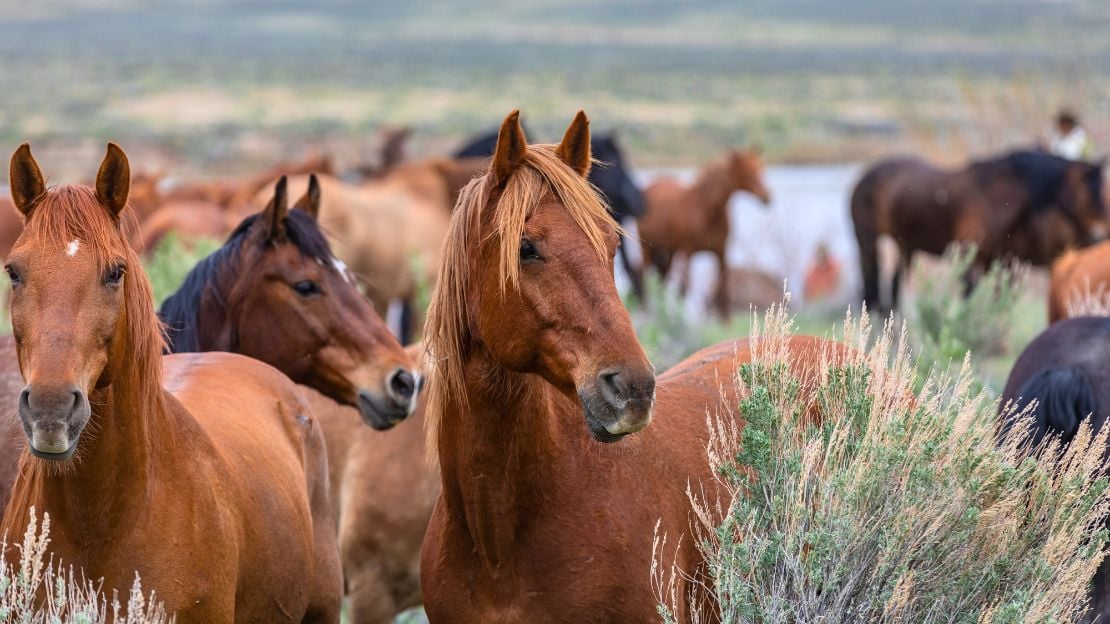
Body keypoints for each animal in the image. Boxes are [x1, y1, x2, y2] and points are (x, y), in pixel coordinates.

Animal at [638, 148, 772, 317]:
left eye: (761, 168)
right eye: (748, 172)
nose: (768, 197)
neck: (707, 211)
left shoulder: (721, 252)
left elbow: (723, 291)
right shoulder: (687, 252)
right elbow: (684, 290)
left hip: (667, 253)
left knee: (662, 281)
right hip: (648, 251)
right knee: (644, 277)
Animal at [852, 151, 1107, 314]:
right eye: (1088, 195)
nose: (1099, 235)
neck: (997, 199)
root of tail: (864, 177)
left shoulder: (1004, 262)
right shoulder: (971, 260)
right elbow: (969, 300)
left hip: (905, 246)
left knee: (893, 285)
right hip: (868, 242)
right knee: (871, 280)